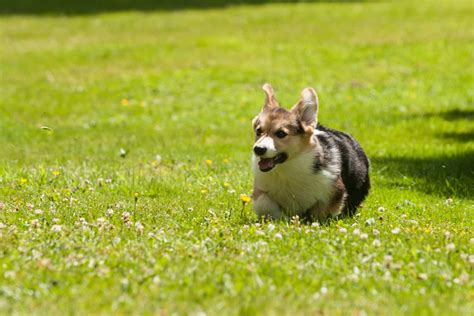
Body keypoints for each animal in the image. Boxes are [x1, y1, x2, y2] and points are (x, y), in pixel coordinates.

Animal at [252, 82, 370, 221]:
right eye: (258, 131)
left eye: (281, 133)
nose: (258, 149)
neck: (288, 167)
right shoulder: (260, 189)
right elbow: (264, 204)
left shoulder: (333, 190)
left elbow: (319, 211)